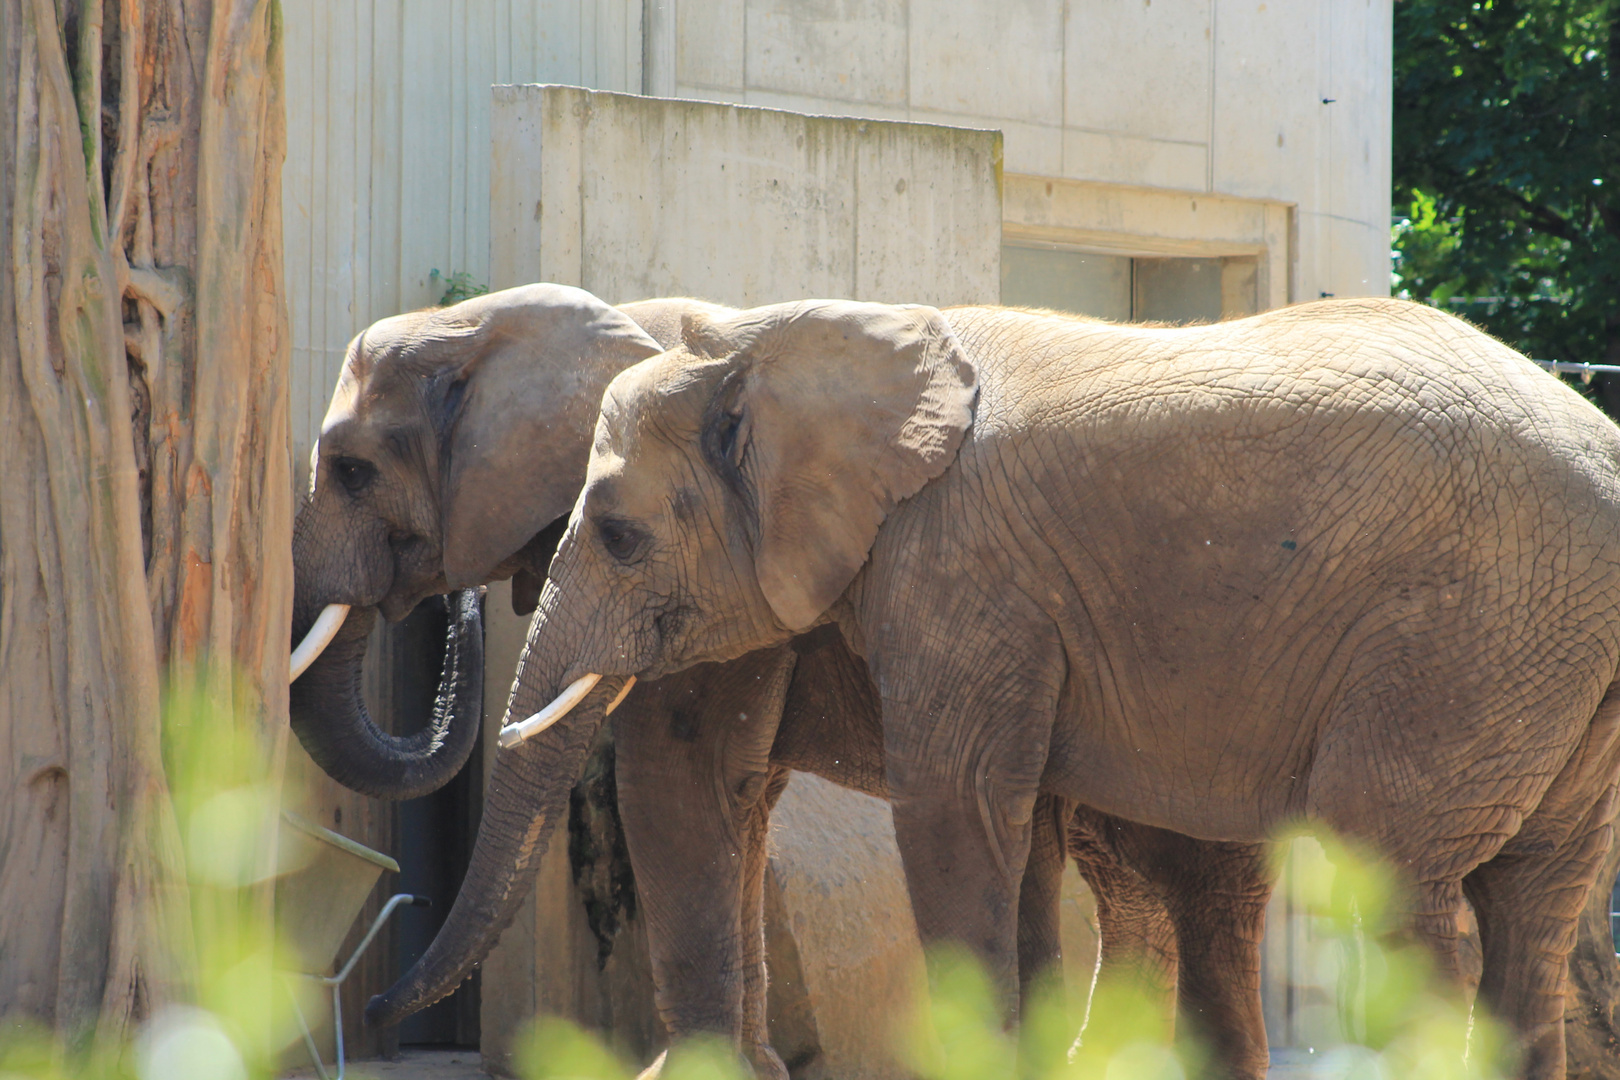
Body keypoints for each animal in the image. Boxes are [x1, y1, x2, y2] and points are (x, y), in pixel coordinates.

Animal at [288, 283, 1276, 1075]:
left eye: (351, 471)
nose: (371, 1006)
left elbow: (676, 781)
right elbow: (738, 798)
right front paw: (750, 1066)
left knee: (1172, 873)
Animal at [375, 296, 1620, 1080]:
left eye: (622, 538)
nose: (380, 1003)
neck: (776, 338)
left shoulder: (959, 576)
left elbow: (955, 809)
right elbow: (1012, 832)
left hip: (1469, 636)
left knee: (1399, 873)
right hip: (1552, 655)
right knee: (1536, 902)